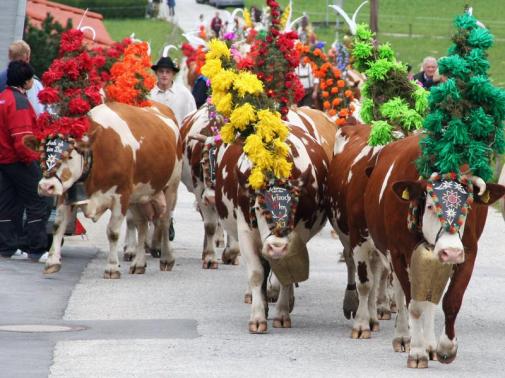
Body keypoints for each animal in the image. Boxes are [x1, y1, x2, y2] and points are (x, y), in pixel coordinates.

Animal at [25, 102, 183, 280]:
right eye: (42, 153)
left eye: (69, 156)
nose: (46, 186)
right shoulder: (66, 194)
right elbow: (58, 226)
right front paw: (52, 262)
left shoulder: (121, 195)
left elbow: (113, 232)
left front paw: (112, 268)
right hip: (138, 195)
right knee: (142, 224)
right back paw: (139, 263)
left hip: (171, 186)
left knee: (164, 221)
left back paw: (167, 259)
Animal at [215, 122, 328, 332]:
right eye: (258, 207)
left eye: (295, 205)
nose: (276, 246)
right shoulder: (245, 233)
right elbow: (257, 274)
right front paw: (258, 317)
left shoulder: (298, 236)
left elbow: (285, 276)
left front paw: (282, 314)